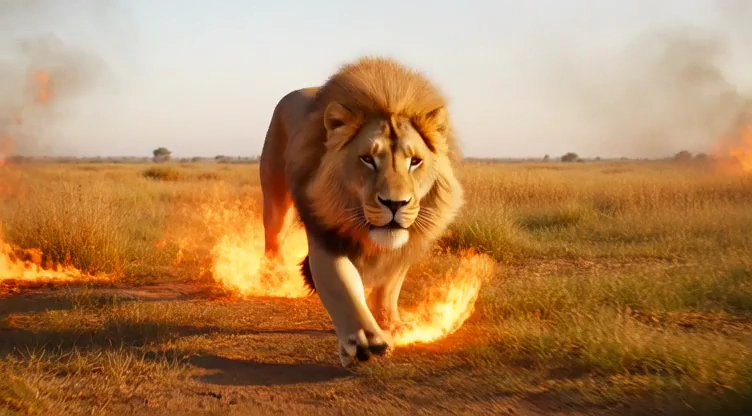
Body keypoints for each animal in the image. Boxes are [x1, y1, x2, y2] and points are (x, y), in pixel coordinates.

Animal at [258, 56, 464, 368]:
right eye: (367, 159)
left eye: (415, 161)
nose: (395, 204)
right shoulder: (325, 236)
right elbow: (342, 286)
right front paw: (364, 337)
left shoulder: (404, 245)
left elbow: (390, 287)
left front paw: (392, 324)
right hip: (275, 197)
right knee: (274, 237)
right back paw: (274, 278)